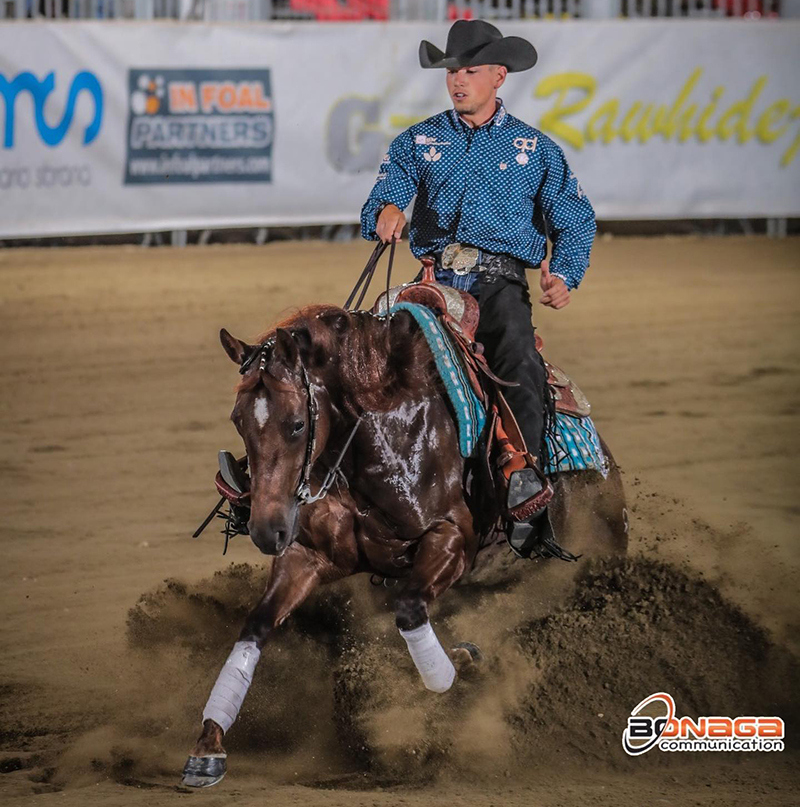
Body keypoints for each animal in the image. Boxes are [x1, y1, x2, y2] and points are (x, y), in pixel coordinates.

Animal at [181, 304, 624, 788]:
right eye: (238, 420)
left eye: (297, 424)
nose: (266, 530)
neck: (376, 439)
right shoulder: (307, 556)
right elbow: (256, 627)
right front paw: (208, 748)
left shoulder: (451, 541)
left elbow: (411, 613)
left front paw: (455, 669)